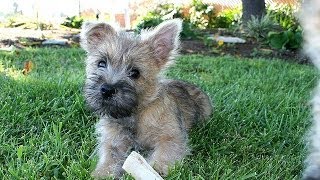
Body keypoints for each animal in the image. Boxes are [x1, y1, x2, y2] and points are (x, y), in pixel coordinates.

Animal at [80, 19, 212, 178]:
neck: (134, 114)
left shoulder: (171, 136)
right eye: (101, 63)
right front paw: (103, 173)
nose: (107, 90)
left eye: (135, 72)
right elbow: (110, 156)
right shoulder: (113, 140)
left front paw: (156, 168)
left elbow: (164, 154)